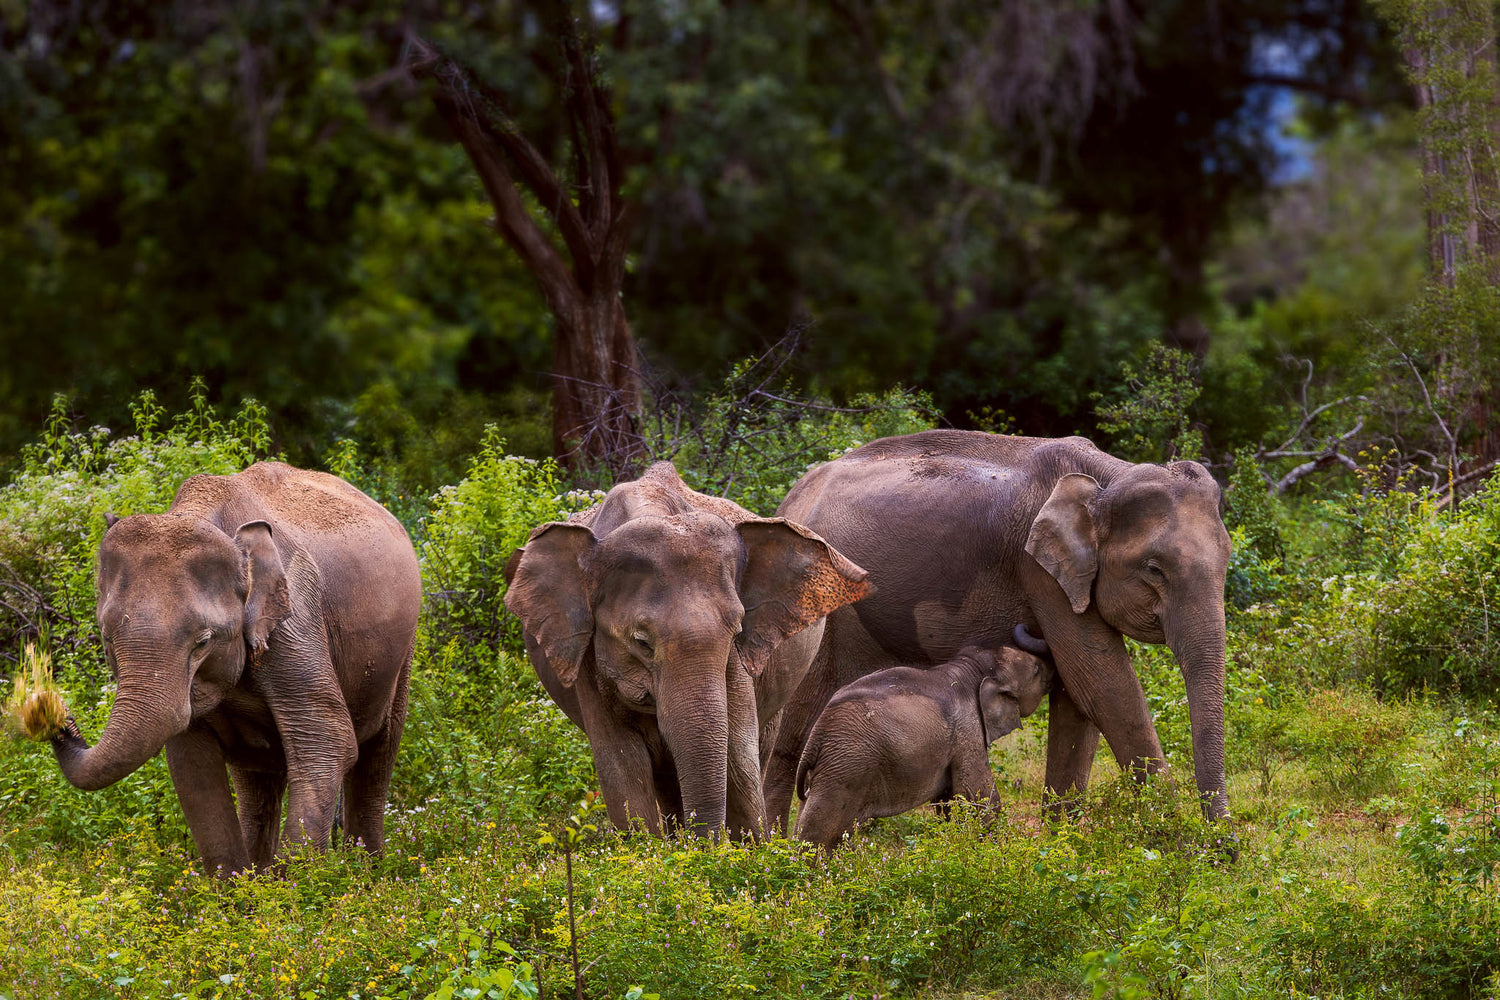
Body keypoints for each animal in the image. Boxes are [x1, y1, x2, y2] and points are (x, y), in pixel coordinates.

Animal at [48, 462, 421, 876]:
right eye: (108, 639)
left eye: (203, 641)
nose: (58, 715)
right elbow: (191, 765)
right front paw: (237, 891)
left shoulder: (295, 621)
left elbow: (329, 739)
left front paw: (294, 884)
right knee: (257, 777)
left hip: (402, 651)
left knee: (378, 753)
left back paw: (369, 874)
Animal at [502, 462, 871, 838]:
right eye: (641, 643)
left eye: (737, 631)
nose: (704, 843)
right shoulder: (585, 657)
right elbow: (621, 765)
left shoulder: (738, 660)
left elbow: (738, 752)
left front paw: (750, 850)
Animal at [794, 626, 1053, 849]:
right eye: (1036, 670)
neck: (975, 668)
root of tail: (816, 736)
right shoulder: (967, 731)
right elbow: (977, 794)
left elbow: (948, 800)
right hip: (847, 766)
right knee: (819, 832)